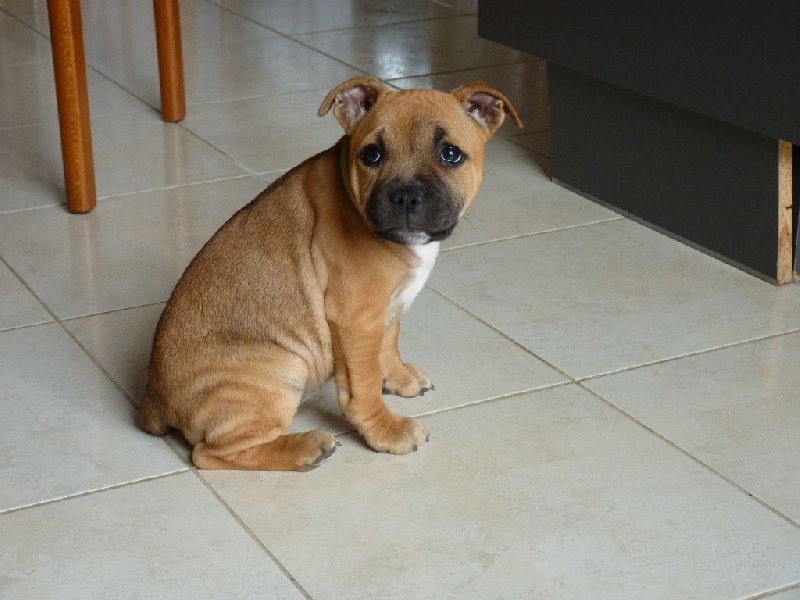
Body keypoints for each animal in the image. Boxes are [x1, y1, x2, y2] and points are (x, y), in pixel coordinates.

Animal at [138, 76, 524, 468]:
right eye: (372, 155)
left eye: (450, 154)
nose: (404, 197)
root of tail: (154, 401)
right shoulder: (355, 317)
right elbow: (362, 386)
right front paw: (386, 431)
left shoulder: (386, 307)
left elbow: (389, 341)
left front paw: (398, 377)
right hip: (282, 369)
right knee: (210, 453)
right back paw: (304, 448)